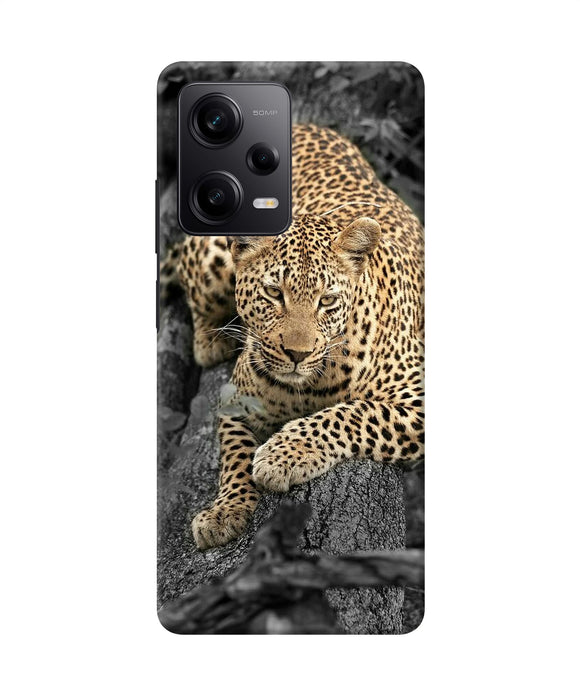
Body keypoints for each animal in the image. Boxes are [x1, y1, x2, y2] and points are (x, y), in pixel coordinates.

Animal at [162, 123, 424, 550]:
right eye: (273, 293)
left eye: (326, 300)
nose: (297, 354)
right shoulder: (235, 399)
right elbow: (234, 455)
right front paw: (224, 510)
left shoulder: (417, 398)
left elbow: (352, 413)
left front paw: (282, 455)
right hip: (211, 259)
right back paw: (211, 340)